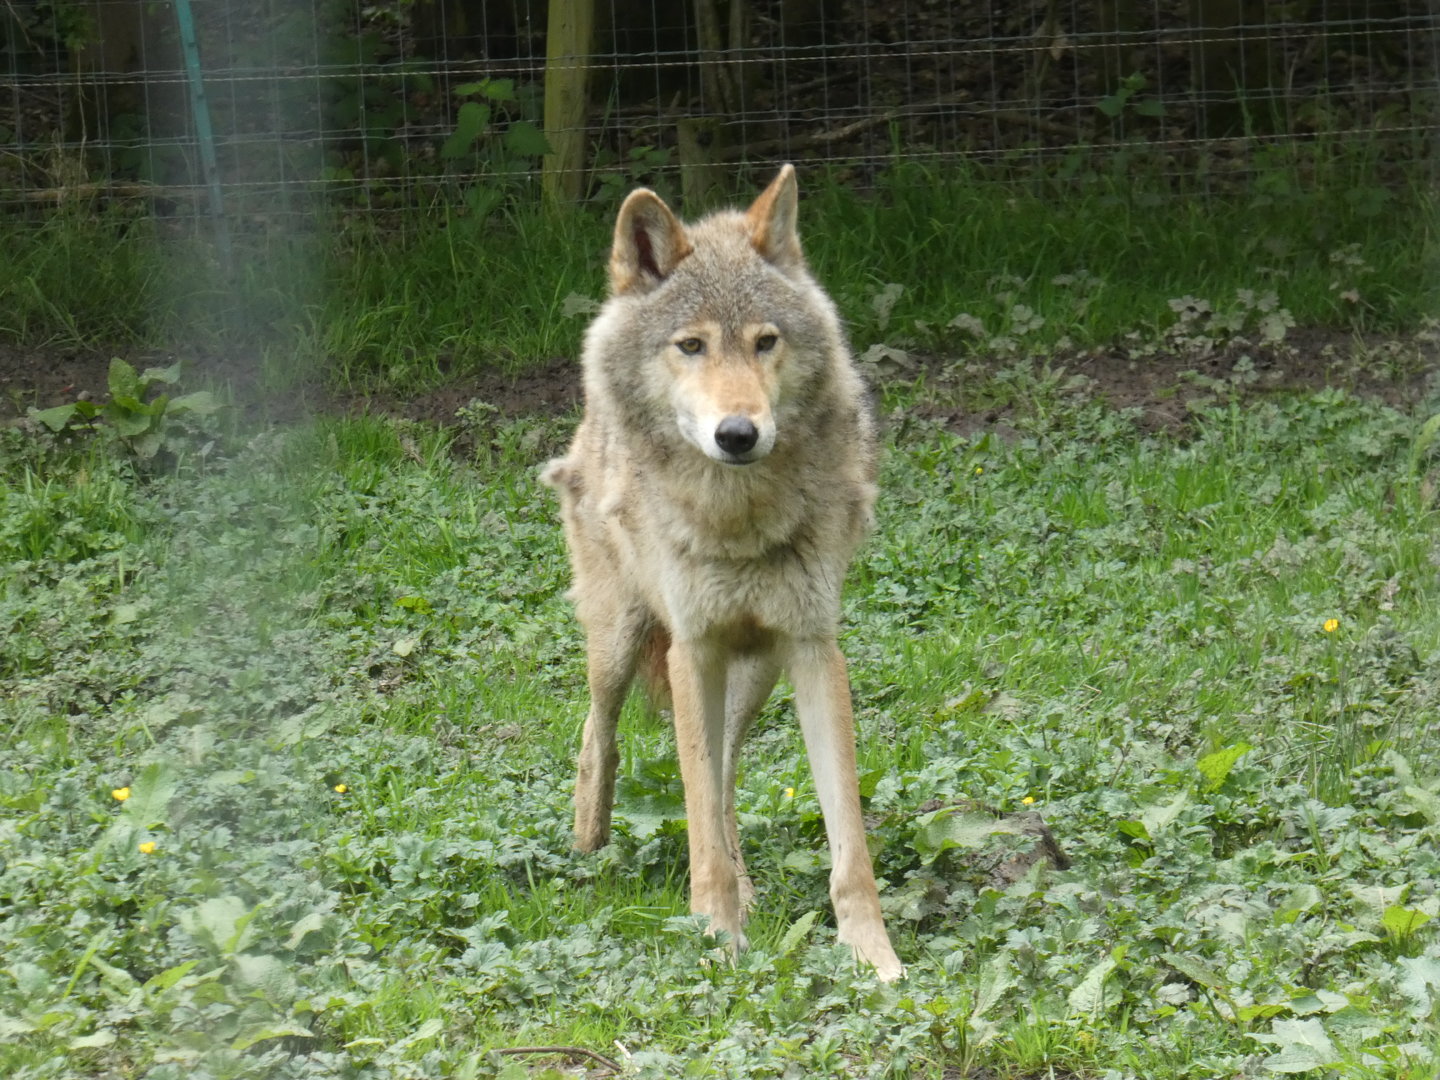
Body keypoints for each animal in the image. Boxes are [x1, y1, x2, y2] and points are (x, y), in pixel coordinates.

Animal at [542, 165, 902, 981]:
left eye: (765, 341)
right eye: (692, 345)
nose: (738, 433)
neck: (739, 518)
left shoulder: (812, 648)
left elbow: (846, 836)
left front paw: (872, 955)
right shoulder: (693, 649)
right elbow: (697, 811)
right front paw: (716, 937)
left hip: (754, 673)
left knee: (727, 777)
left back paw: (747, 886)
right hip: (621, 644)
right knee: (601, 738)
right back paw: (588, 845)